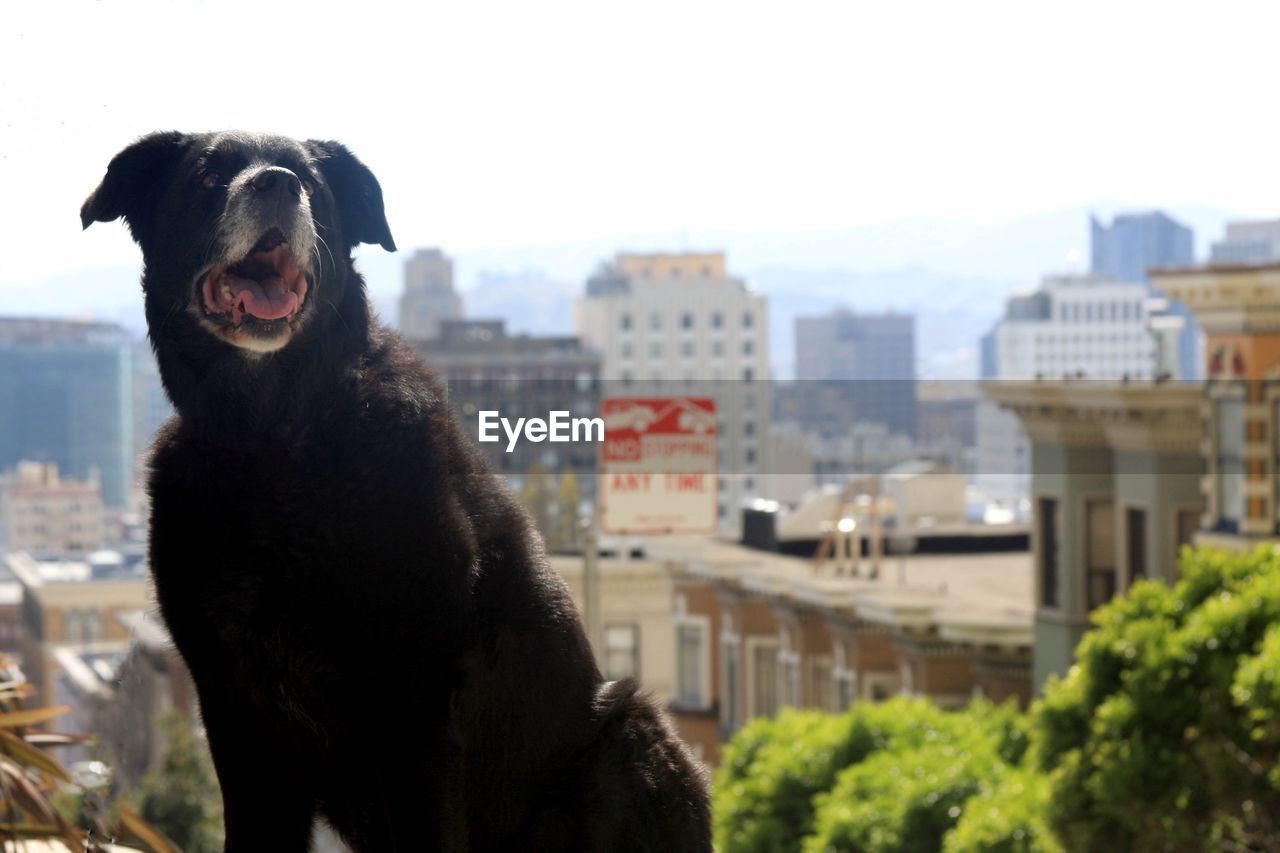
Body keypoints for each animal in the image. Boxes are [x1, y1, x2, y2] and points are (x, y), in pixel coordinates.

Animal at [82, 129, 711, 845]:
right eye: (208, 176)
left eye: (310, 182)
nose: (277, 184)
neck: (273, 441)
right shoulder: (235, 710)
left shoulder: (414, 705)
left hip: (628, 737)